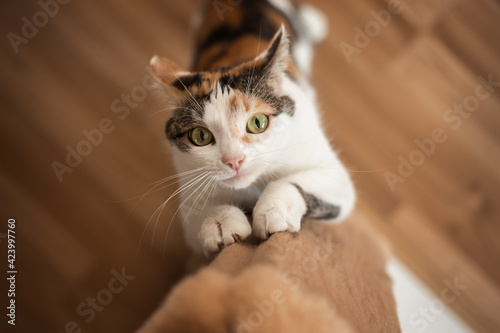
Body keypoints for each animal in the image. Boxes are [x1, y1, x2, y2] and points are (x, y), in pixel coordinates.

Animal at [148, 0, 356, 256]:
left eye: (257, 123)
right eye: (200, 135)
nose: (234, 160)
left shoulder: (333, 174)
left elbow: (297, 181)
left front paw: (274, 210)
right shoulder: (188, 183)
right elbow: (197, 216)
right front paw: (221, 224)